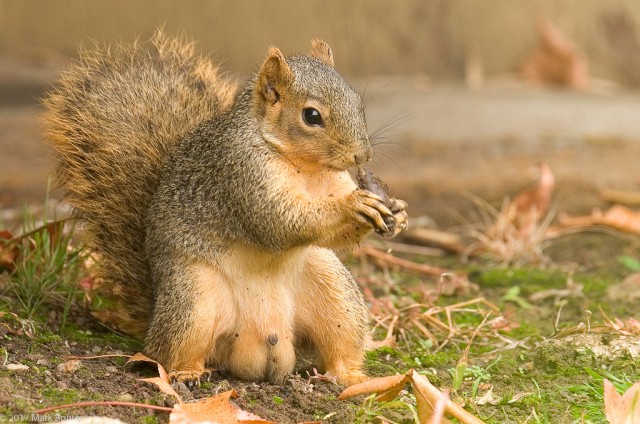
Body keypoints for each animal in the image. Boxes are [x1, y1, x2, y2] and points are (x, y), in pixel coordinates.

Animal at [42, 31, 408, 386]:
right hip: (193, 299)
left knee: (340, 343)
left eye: (357, 102)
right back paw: (186, 373)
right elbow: (279, 220)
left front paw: (398, 213)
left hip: (334, 292)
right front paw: (353, 205)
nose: (362, 156)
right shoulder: (241, 175)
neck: (304, 166)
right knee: (170, 349)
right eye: (311, 116)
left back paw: (353, 377)